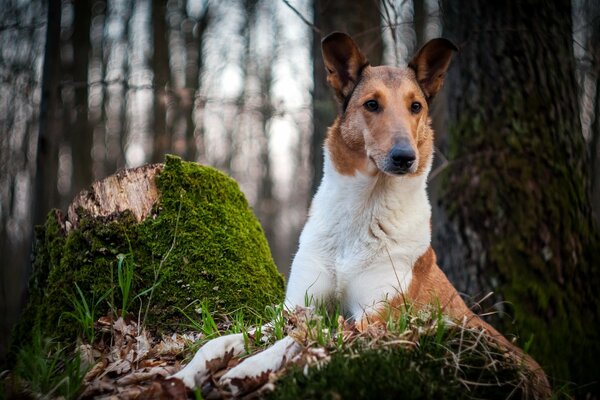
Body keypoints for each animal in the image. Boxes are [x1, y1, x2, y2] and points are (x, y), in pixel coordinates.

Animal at [171, 31, 552, 396]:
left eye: (415, 106)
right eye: (372, 104)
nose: (404, 157)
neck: (364, 210)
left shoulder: (375, 318)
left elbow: (300, 338)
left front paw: (247, 368)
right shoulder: (294, 308)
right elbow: (220, 341)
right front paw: (185, 374)